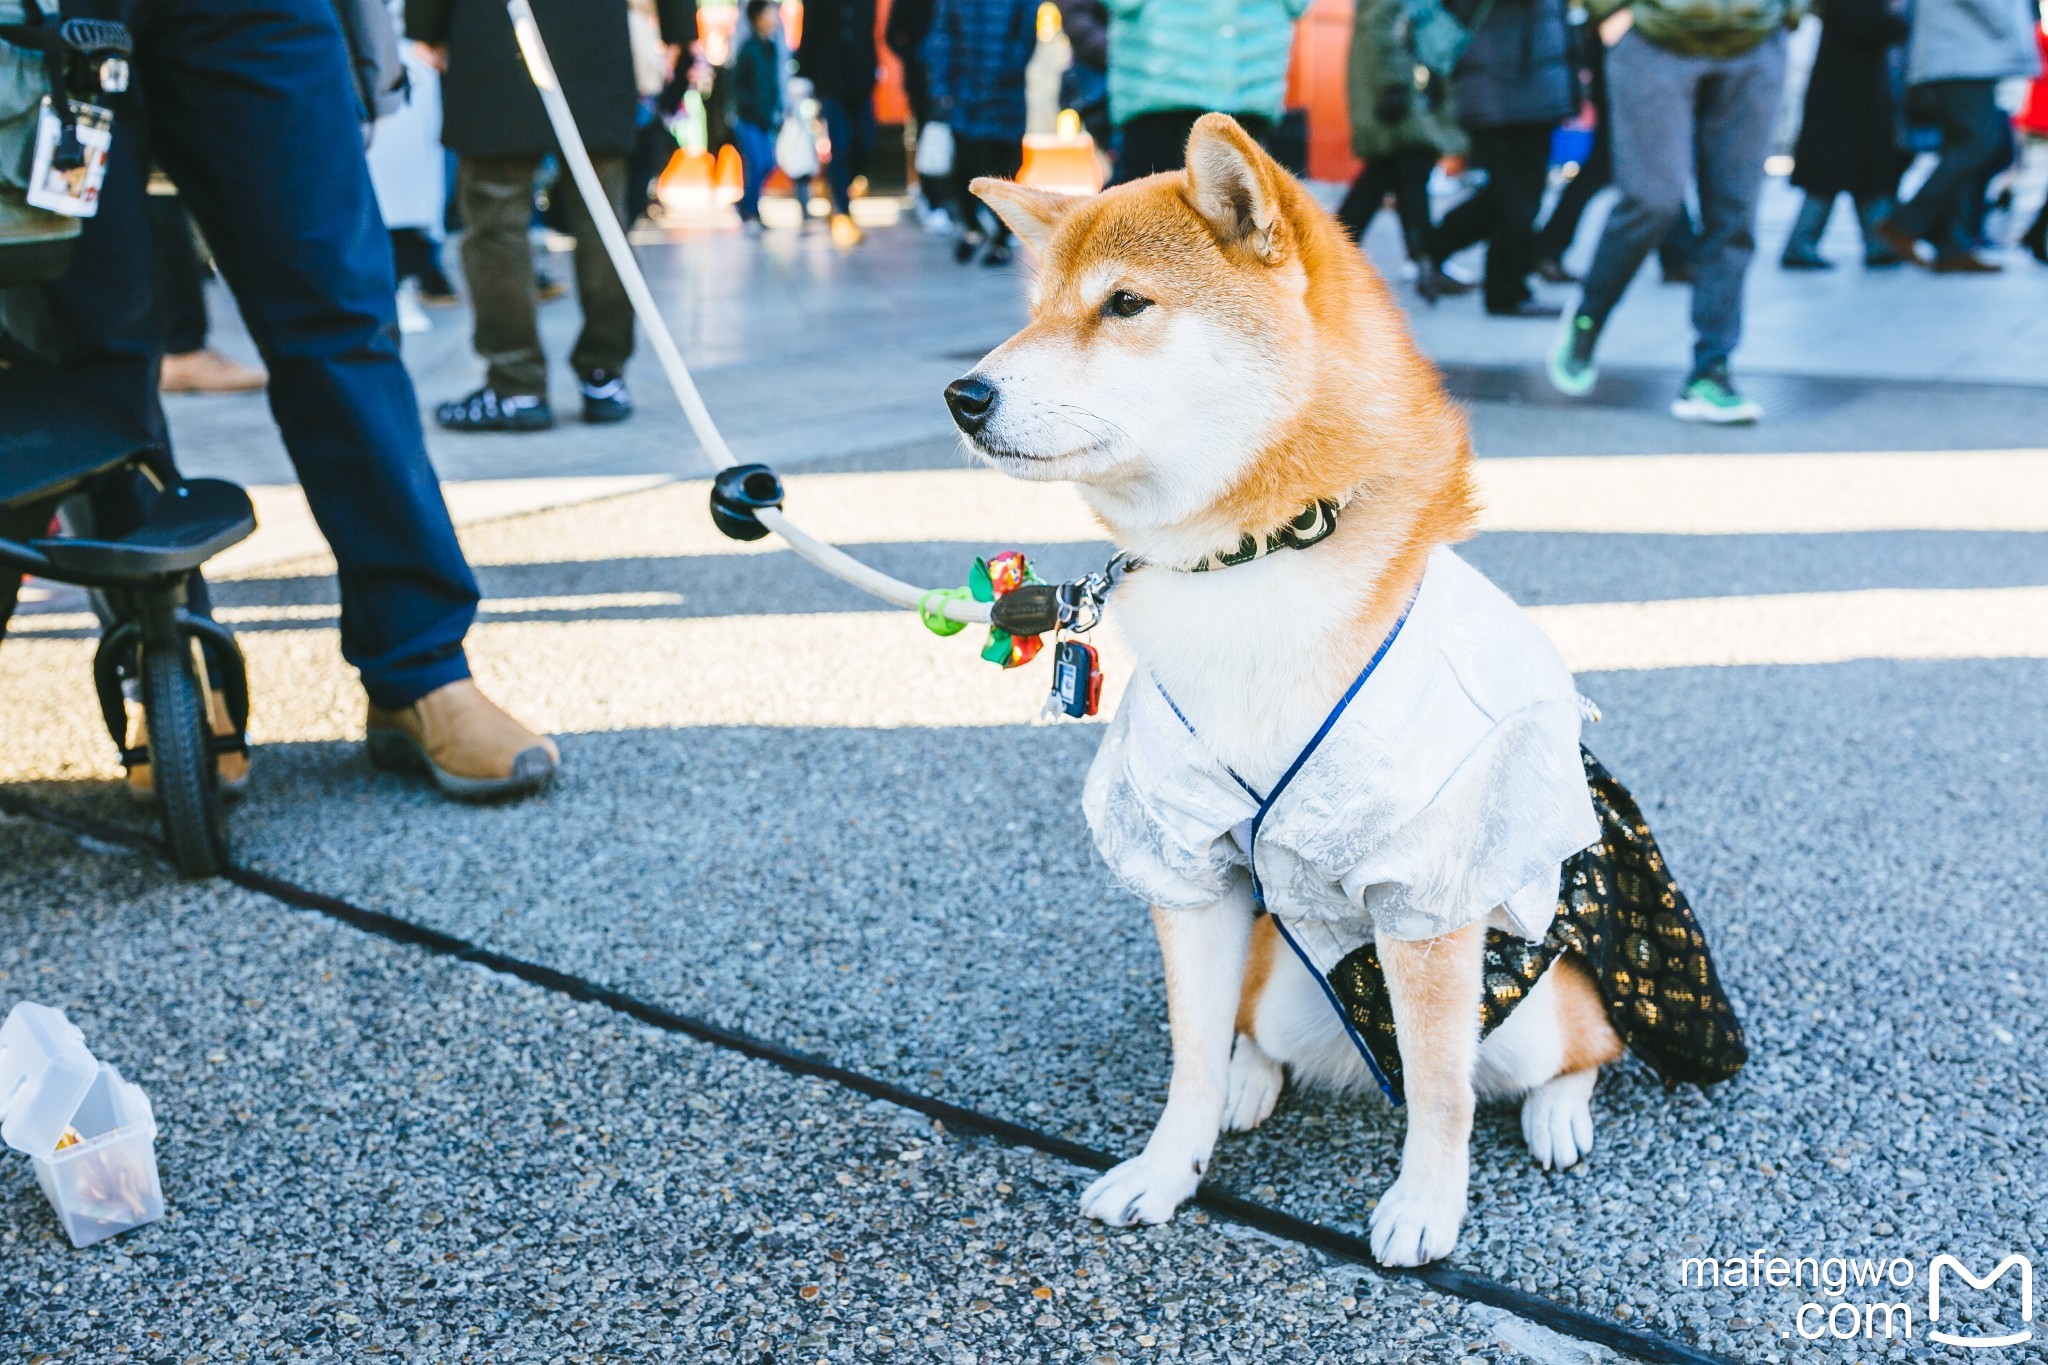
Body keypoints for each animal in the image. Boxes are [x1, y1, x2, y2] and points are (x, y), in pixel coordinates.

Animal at [942, 117, 1744, 1268]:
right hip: (1277, 972)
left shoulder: (1429, 891)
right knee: (1252, 1032)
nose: (963, 395)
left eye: (1124, 305)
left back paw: (1559, 1113)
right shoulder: (1186, 860)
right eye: (1036, 311)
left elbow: (1443, 1087)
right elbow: (1189, 1053)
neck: (1245, 566)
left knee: (1569, 1052)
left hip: (1540, 1001)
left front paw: (1426, 1206)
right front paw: (1167, 1169)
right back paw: (1251, 1082)